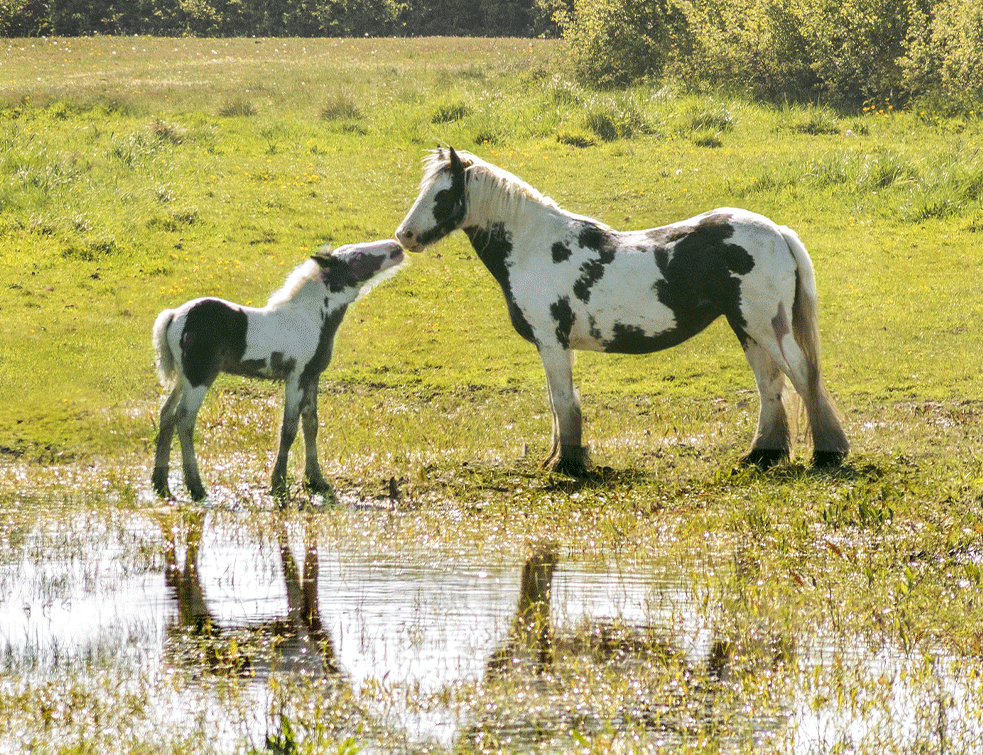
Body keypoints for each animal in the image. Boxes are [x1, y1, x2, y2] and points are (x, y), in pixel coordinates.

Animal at [152, 241, 406, 502]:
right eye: (357, 255)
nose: (396, 247)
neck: (310, 318)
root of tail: (174, 315)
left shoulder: (312, 377)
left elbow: (311, 425)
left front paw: (317, 481)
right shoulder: (296, 378)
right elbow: (289, 428)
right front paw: (279, 484)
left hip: (183, 378)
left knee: (166, 415)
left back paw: (161, 484)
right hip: (199, 377)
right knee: (184, 419)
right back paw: (196, 487)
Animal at [396, 148, 848, 478]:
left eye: (442, 195)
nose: (405, 236)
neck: (536, 247)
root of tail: (777, 232)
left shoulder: (552, 342)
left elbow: (563, 402)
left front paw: (567, 465)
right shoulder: (553, 346)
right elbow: (557, 403)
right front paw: (559, 458)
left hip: (766, 327)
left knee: (803, 377)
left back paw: (827, 453)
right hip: (749, 329)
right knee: (770, 386)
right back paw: (761, 456)